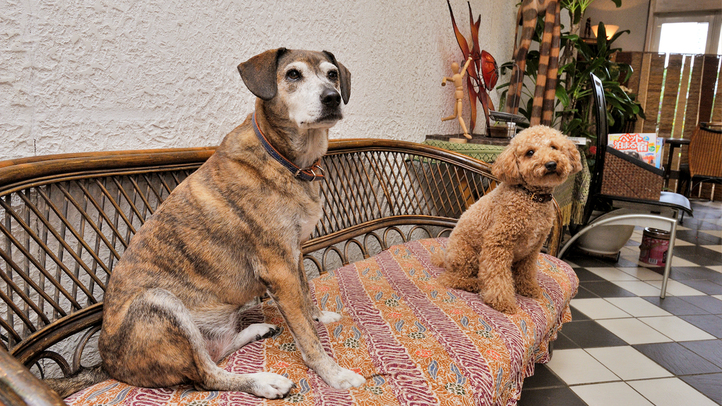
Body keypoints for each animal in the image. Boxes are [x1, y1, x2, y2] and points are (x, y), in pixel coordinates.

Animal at [47, 48, 362, 400]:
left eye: (332, 74)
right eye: (293, 74)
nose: (332, 98)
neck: (286, 160)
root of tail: (106, 364)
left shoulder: (294, 253)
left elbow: (306, 297)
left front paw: (320, 316)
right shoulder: (278, 267)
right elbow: (306, 334)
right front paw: (334, 375)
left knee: (215, 352)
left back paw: (256, 329)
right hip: (159, 302)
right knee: (206, 375)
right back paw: (264, 380)